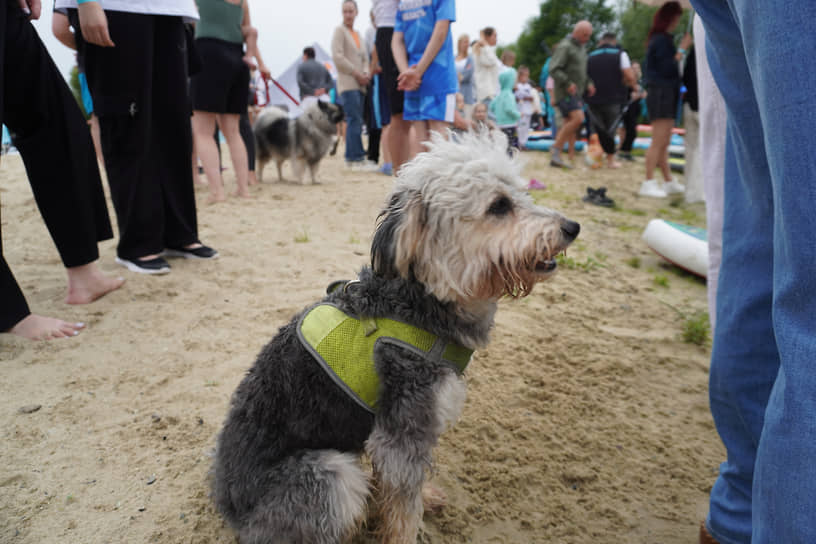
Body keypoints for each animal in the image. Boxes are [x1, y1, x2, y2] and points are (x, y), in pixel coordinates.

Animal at [212, 132, 580, 544]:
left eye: (523, 193)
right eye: (499, 205)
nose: (572, 227)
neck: (420, 299)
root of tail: (230, 509)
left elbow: (400, 490)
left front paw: (422, 497)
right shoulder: (403, 432)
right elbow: (404, 507)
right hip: (331, 475)